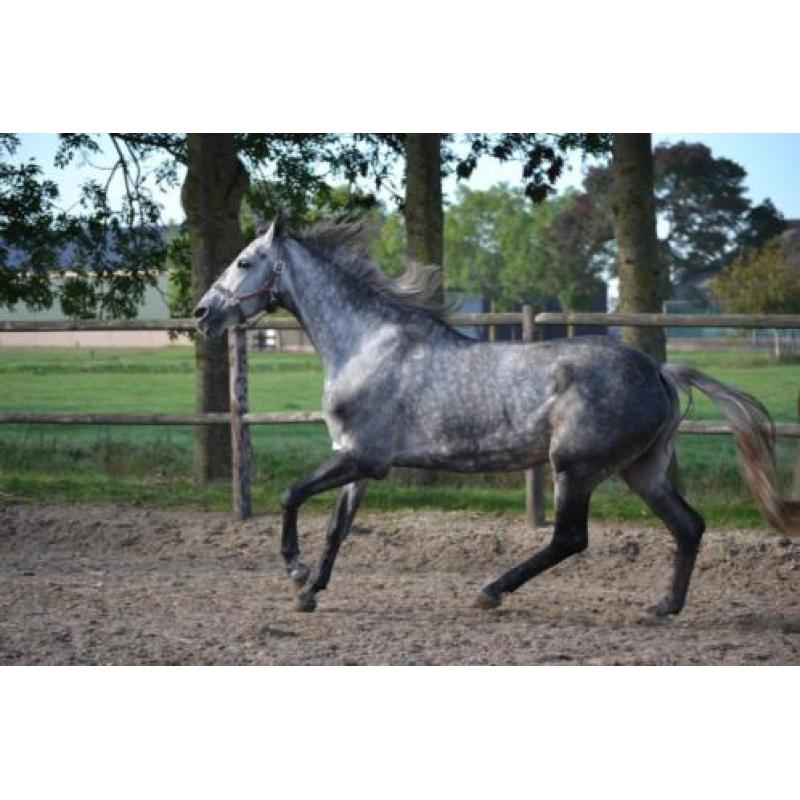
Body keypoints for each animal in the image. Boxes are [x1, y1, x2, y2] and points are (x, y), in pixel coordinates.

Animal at [194, 213, 798, 615]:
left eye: (245, 260)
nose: (203, 313)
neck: (368, 343)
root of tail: (659, 372)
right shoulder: (355, 461)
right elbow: (337, 527)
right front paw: (310, 592)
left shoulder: (364, 458)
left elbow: (290, 494)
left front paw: (294, 570)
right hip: (641, 470)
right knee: (688, 525)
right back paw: (663, 607)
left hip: (575, 467)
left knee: (571, 538)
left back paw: (490, 592)